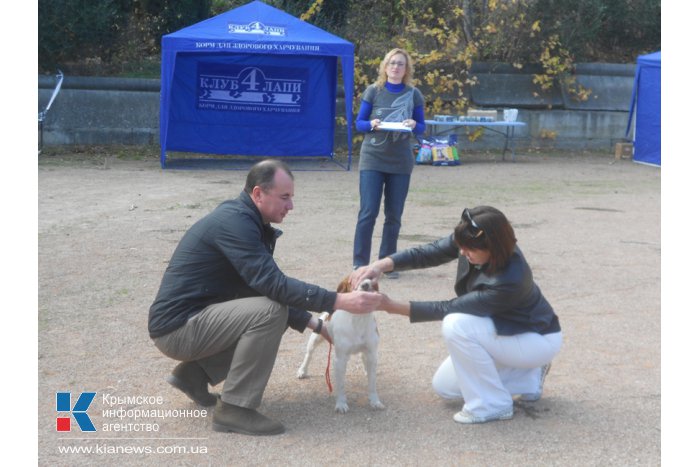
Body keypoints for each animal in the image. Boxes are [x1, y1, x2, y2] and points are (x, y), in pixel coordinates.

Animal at [294, 278, 382, 414]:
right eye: (352, 281)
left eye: (370, 279)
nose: (365, 284)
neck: (358, 319)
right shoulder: (340, 360)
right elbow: (340, 386)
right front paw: (341, 404)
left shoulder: (372, 354)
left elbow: (372, 384)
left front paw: (374, 401)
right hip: (315, 339)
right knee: (309, 355)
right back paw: (302, 371)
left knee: (363, 358)